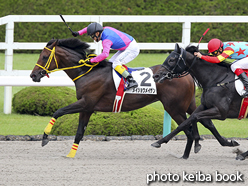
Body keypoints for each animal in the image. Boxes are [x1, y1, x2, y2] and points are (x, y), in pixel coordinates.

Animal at [29, 37, 202, 158]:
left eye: (44, 56)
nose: (33, 75)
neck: (87, 73)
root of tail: (184, 73)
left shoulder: (85, 103)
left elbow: (58, 111)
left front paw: (45, 138)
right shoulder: (87, 108)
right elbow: (79, 132)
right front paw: (70, 154)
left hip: (174, 108)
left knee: (188, 130)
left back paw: (184, 155)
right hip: (188, 105)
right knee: (195, 122)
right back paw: (194, 147)